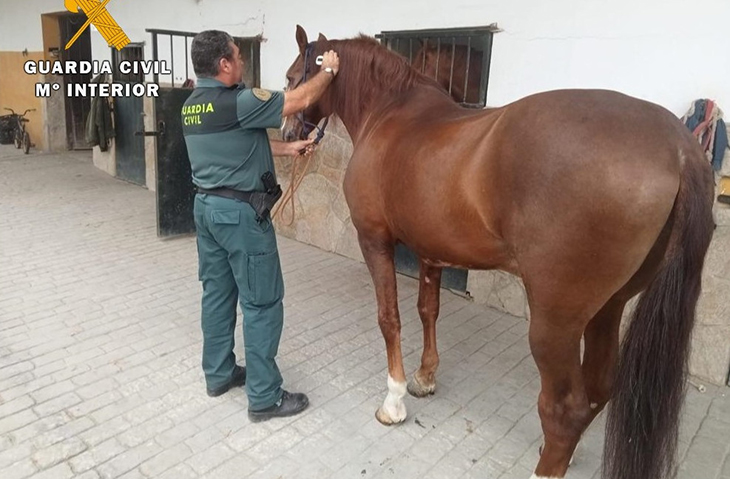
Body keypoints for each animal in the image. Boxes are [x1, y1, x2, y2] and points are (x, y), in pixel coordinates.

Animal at [282, 26, 712, 479]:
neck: (389, 115)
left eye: (292, 77)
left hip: (554, 323)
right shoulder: (431, 251)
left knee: (566, 408)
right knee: (598, 388)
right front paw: (425, 378)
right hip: (608, 308)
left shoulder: (374, 240)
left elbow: (390, 318)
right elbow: (428, 311)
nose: (289, 134)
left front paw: (393, 400)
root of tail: (679, 148)